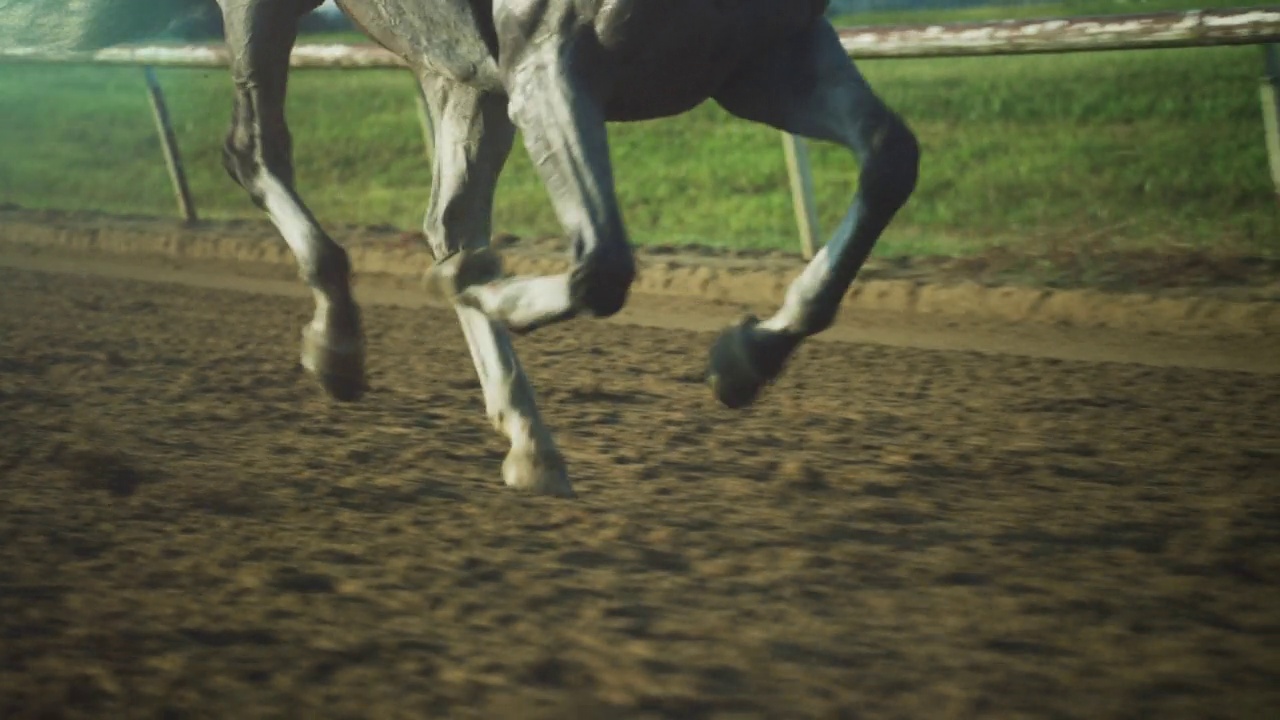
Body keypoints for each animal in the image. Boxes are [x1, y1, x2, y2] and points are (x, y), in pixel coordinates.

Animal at [2, 0, 921, 497]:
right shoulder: (549, 57)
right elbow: (602, 264)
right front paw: (472, 286)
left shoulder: (759, 57)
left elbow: (890, 159)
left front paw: (747, 359)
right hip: (275, 14)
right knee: (253, 149)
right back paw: (340, 343)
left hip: (462, 74)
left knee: (448, 218)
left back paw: (528, 440)